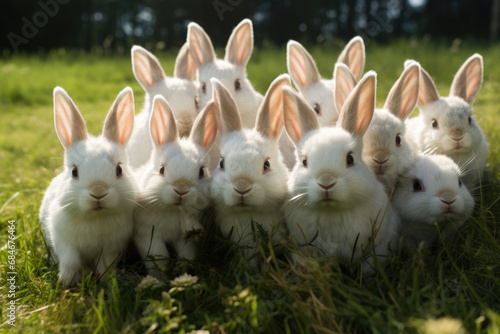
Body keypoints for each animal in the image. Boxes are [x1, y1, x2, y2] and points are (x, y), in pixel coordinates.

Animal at [39, 85, 138, 284]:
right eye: (74, 172)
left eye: (119, 170)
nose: (98, 191)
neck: (95, 216)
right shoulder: (64, 242)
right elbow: (70, 262)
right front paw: (67, 281)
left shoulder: (111, 247)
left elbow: (105, 265)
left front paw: (107, 281)